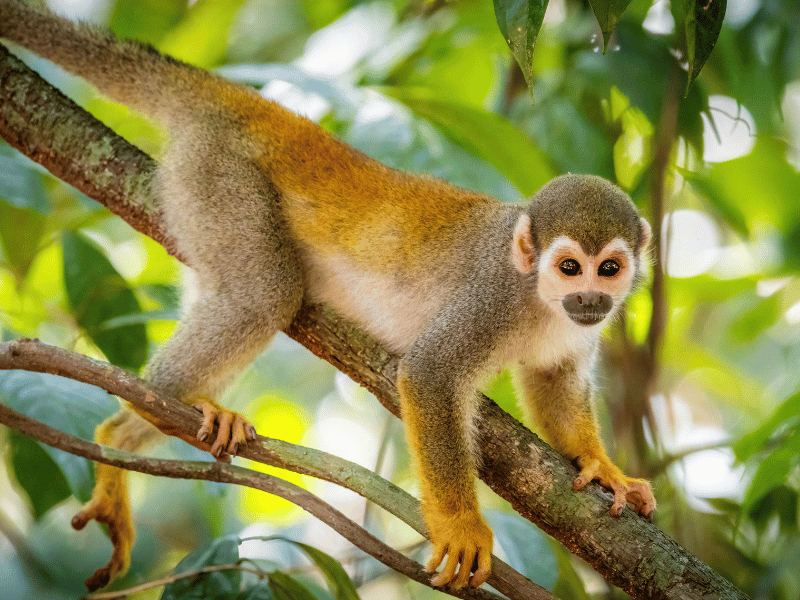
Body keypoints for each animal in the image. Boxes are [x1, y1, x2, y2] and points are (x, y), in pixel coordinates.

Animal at [0, 0, 656, 591]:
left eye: (608, 269)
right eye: (569, 267)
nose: (590, 299)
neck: (539, 297)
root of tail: (253, 107)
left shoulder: (575, 333)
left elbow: (553, 383)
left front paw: (603, 467)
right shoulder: (491, 296)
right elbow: (430, 374)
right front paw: (461, 524)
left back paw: (130, 434)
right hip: (218, 176)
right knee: (263, 296)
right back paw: (141, 416)